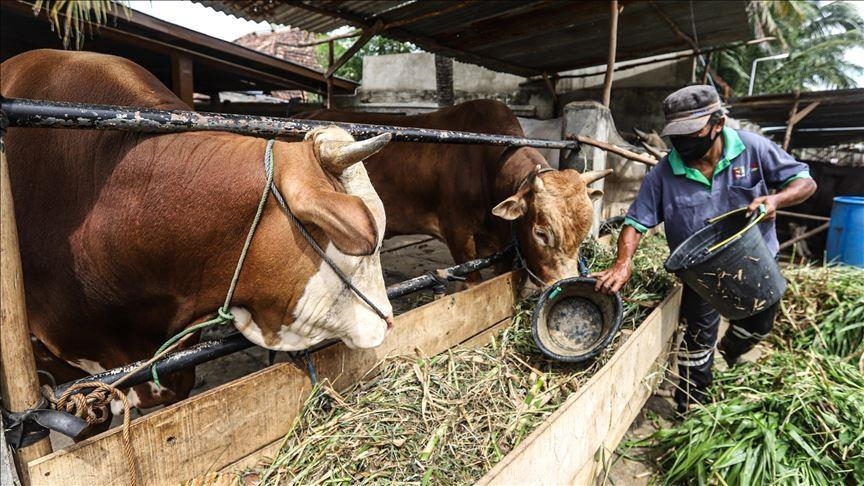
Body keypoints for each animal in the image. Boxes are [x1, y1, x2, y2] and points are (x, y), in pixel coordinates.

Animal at [300, 101, 612, 284]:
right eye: (541, 233)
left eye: (583, 233)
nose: (564, 283)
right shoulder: (458, 233)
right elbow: (472, 279)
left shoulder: (500, 244)